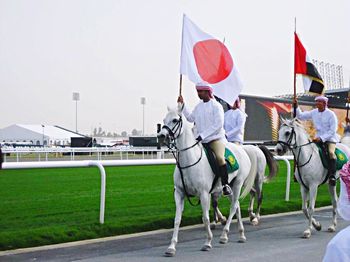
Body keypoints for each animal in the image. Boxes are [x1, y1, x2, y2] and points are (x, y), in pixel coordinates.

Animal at [158, 104, 258, 256]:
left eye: (175, 120)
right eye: (164, 119)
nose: (161, 136)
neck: (189, 162)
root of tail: (242, 149)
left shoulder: (204, 194)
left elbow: (205, 218)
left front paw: (207, 242)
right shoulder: (179, 193)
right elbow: (177, 219)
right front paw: (171, 247)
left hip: (238, 184)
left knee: (233, 207)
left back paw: (224, 235)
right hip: (230, 187)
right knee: (237, 207)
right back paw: (241, 235)